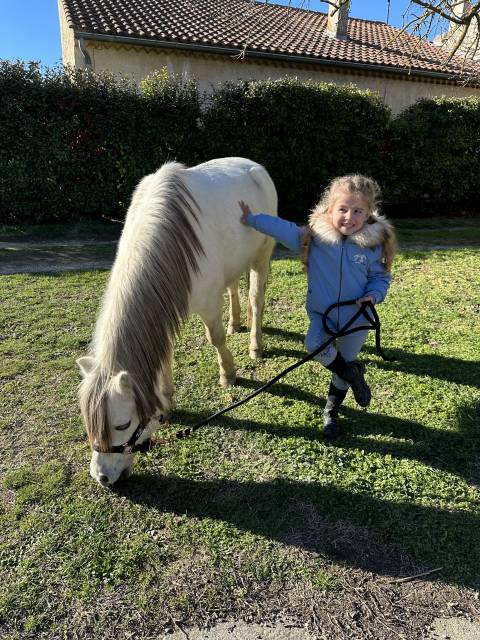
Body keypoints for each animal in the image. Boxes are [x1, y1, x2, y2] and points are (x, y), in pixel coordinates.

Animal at [77, 157, 277, 486]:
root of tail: (253, 165)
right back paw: (236, 323)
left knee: (255, 299)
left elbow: (215, 338)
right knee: (233, 287)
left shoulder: (207, 304)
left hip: (262, 255)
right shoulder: (165, 307)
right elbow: (166, 354)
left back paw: (255, 346)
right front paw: (168, 397)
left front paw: (228, 375)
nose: (102, 477)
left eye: (122, 425)